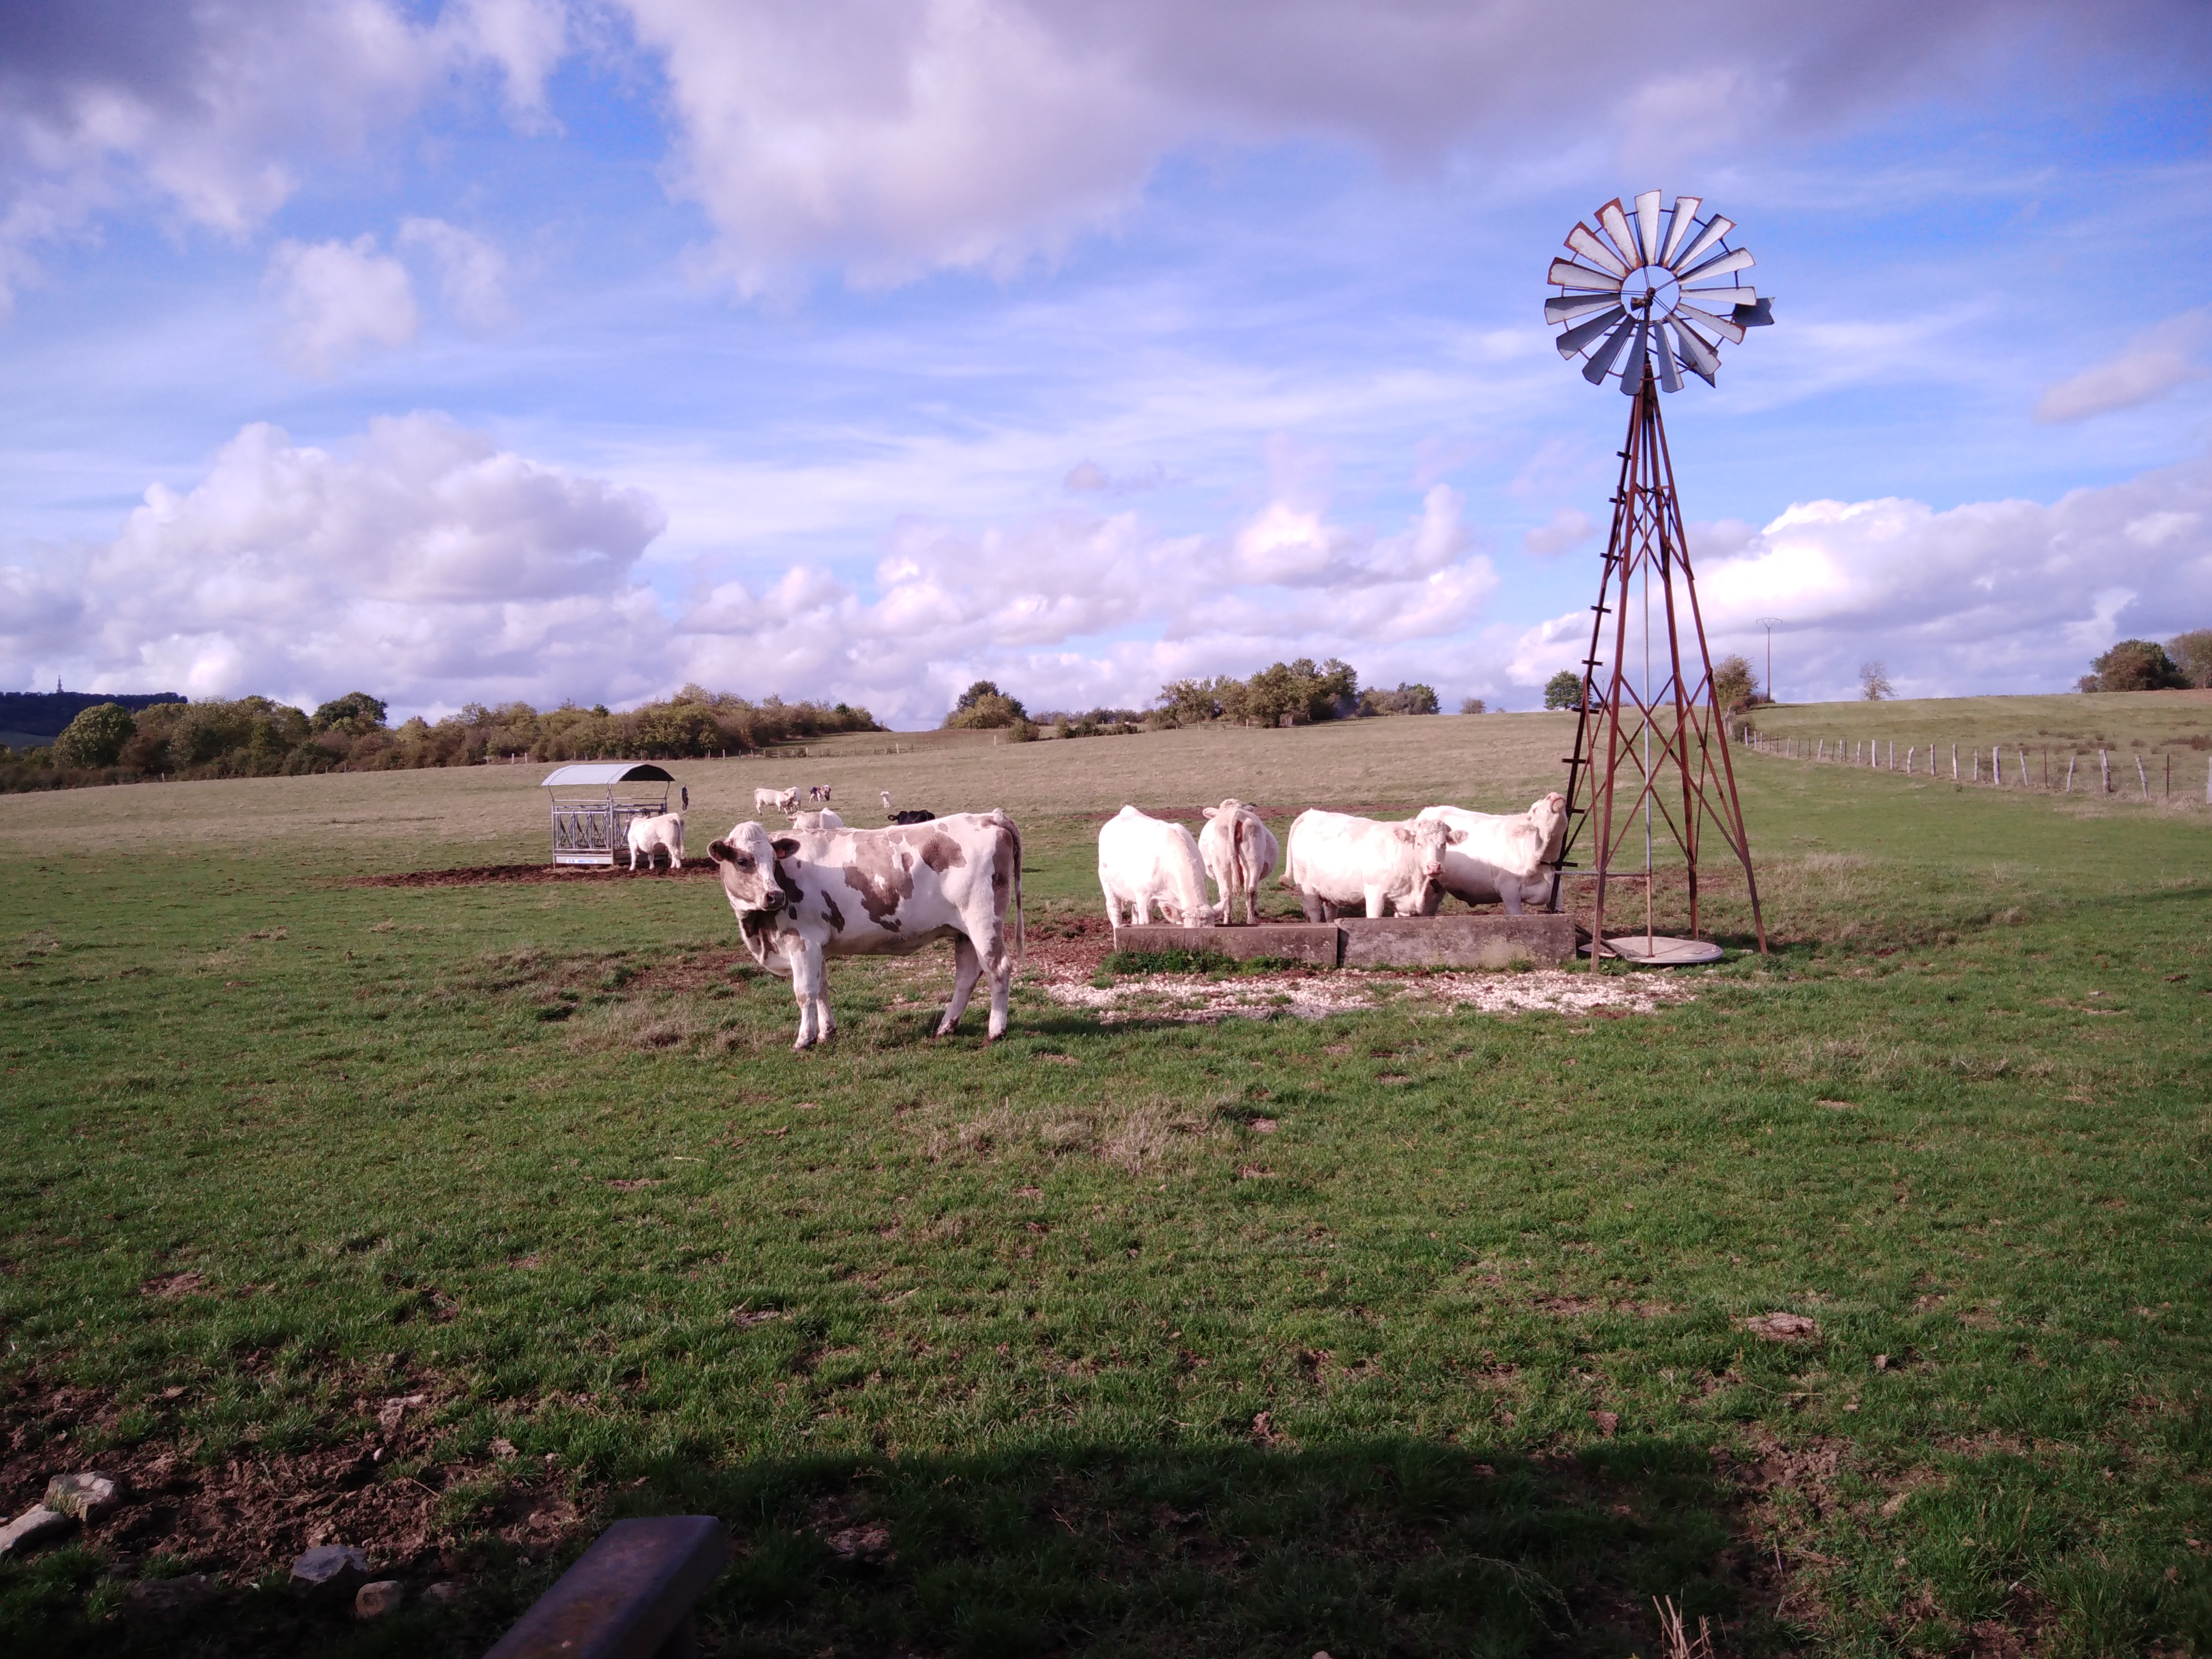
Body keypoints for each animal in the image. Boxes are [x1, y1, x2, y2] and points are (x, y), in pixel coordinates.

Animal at [706, 811, 1023, 1050]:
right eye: (743, 861)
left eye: (774, 861)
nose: (775, 896)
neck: (759, 931)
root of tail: (988, 817)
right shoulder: (817, 946)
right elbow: (821, 989)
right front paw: (827, 1033)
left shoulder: (803, 942)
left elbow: (805, 992)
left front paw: (804, 1040)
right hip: (965, 932)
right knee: (967, 976)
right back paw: (946, 1027)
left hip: (983, 922)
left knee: (998, 969)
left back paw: (995, 1031)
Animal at [1197, 799, 1280, 925]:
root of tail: (1236, 813)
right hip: (1253, 860)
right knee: (1250, 891)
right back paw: (1251, 920)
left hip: (1222, 864)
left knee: (1226, 893)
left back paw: (1227, 921)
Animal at [1279, 809, 1464, 921]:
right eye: (1419, 844)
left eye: (1444, 844)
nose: (1434, 867)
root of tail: (1312, 813)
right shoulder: (1375, 893)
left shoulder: (1404, 904)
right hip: (1306, 886)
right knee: (1314, 912)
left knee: (1331, 911)